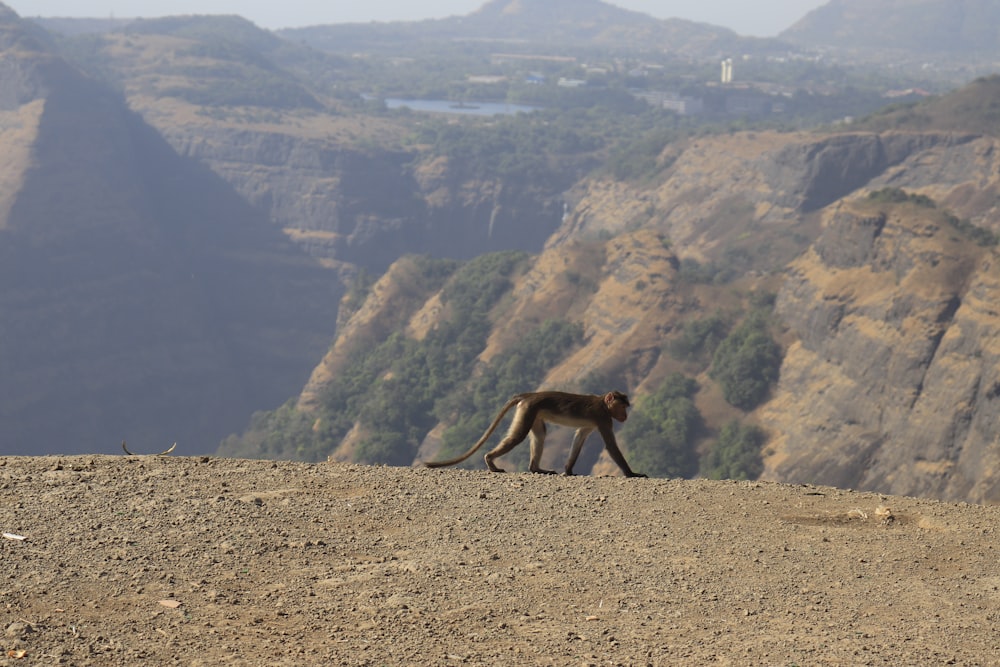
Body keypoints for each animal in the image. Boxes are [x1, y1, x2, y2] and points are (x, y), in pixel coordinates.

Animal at [420, 392, 640, 480]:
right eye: (622, 407)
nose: (626, 416)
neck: (603, 403)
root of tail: (529, 395)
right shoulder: (604, 418)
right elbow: (611, 446)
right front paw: (632, 473)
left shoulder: (594, 423)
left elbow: (579, 437)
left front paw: (568, 470)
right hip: (527, 410)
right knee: (518, 436)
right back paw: (490, 461)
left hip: (533, 412)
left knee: (540, 434)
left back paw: (536, 468)